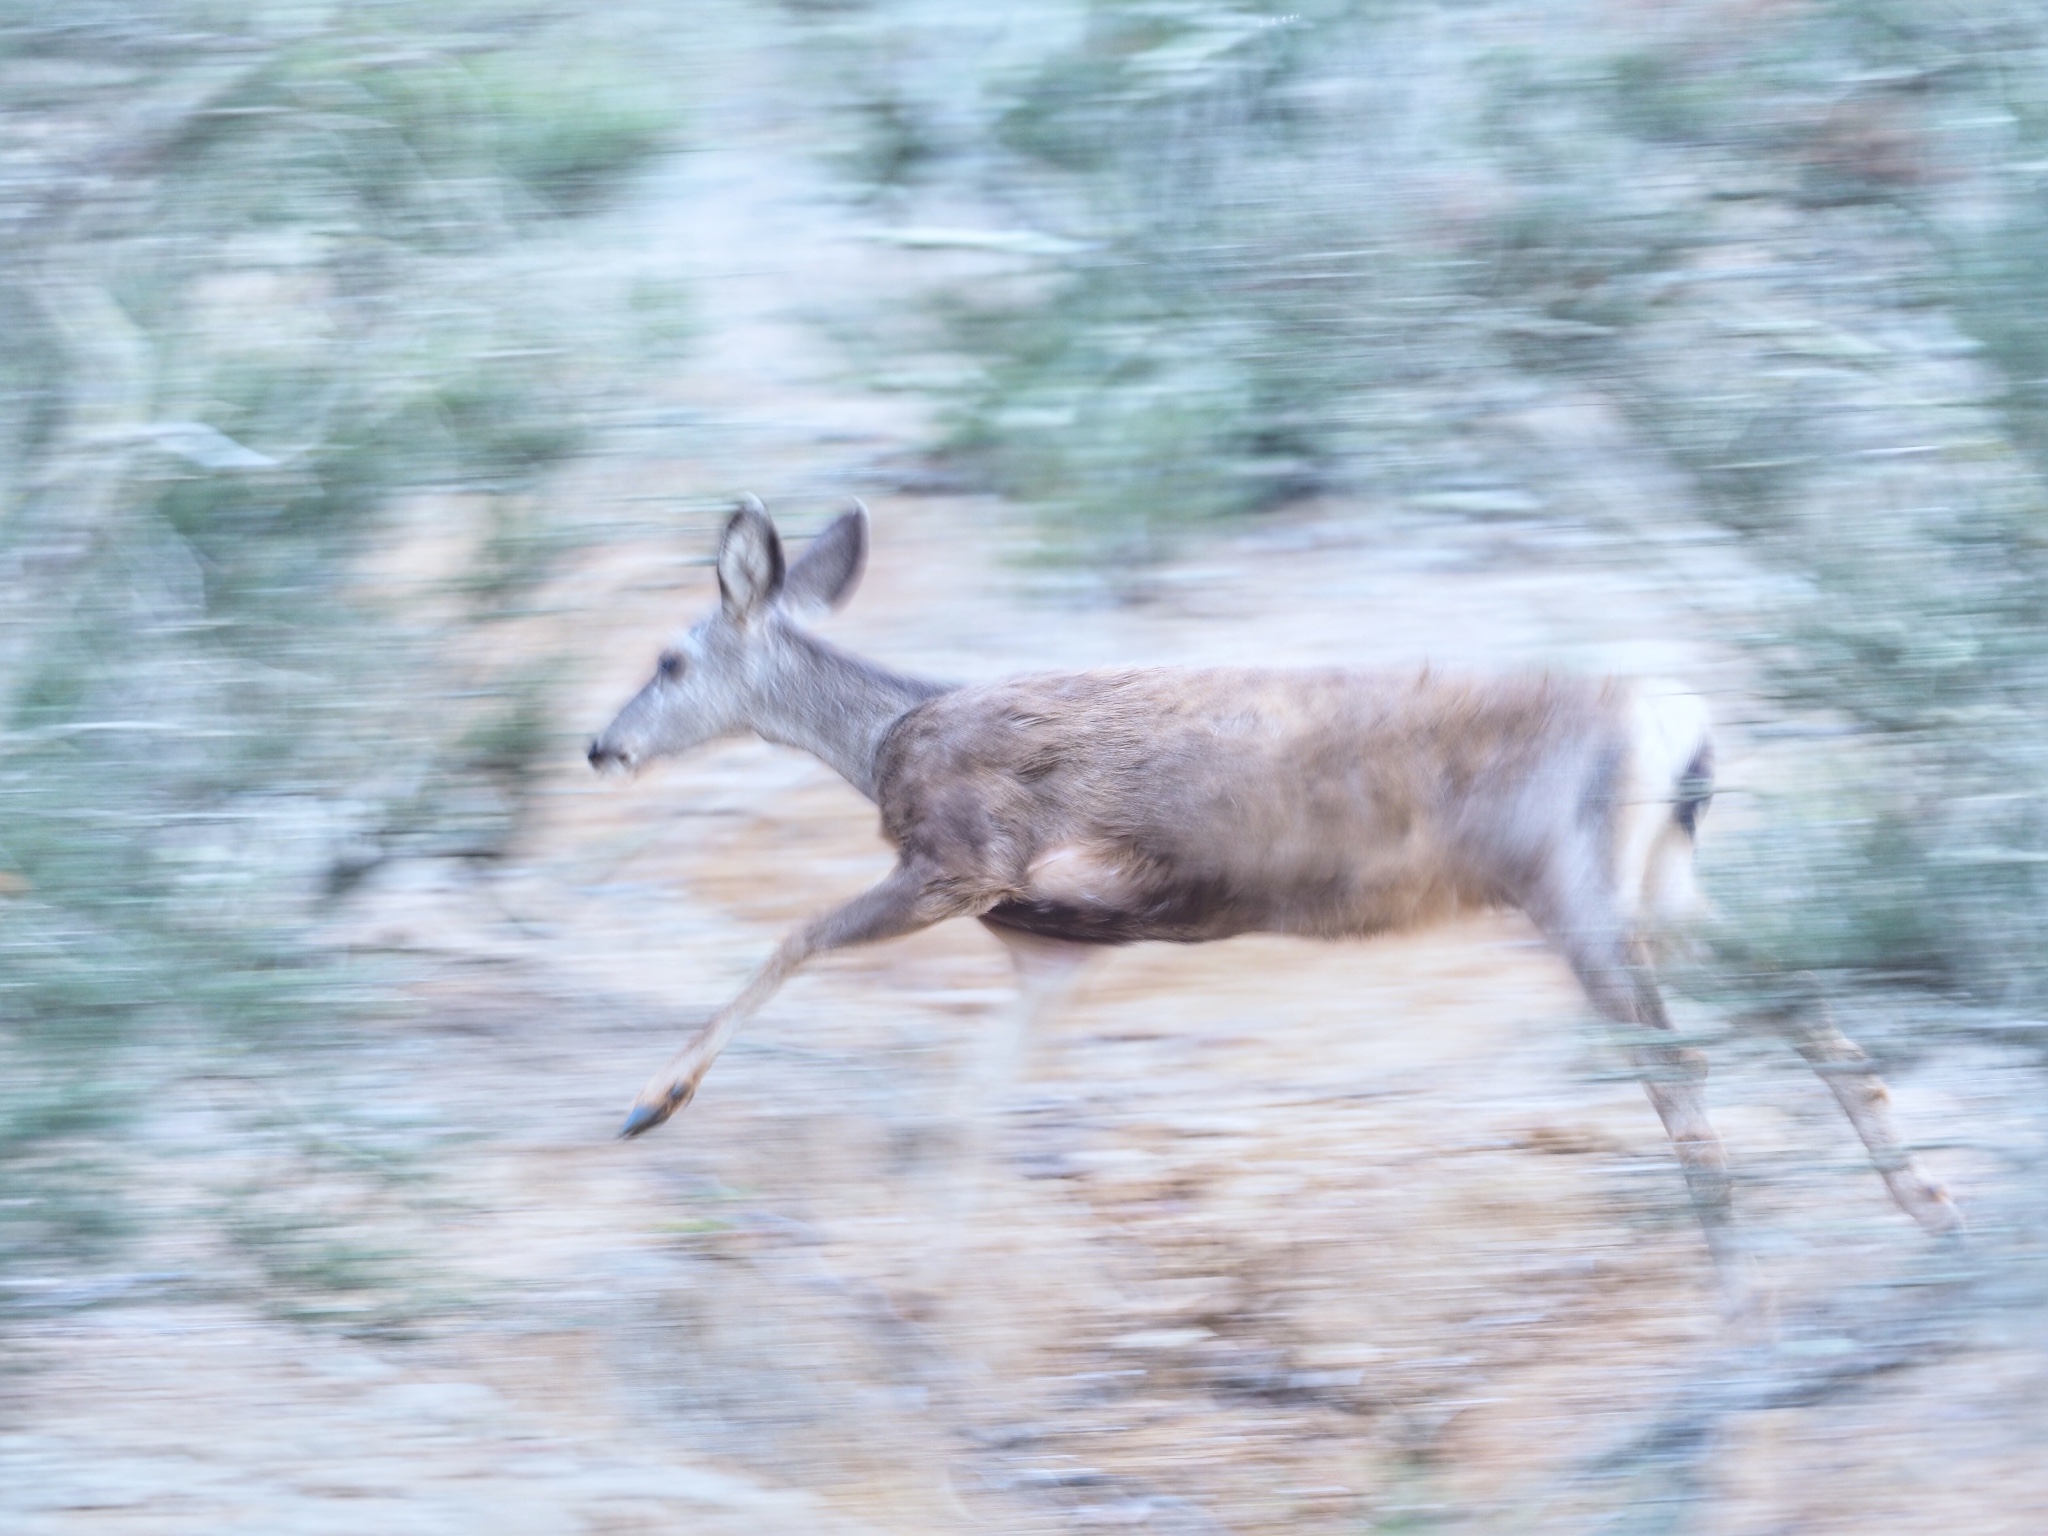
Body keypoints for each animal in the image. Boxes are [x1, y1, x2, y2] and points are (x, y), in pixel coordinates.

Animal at [585, 499, 1957, 1269]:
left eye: (667, 657)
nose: (600, 746)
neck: (883, 736)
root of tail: (1681, 719)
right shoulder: (1051, 940)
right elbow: (972, 1103)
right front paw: (931, 1270)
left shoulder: (965, 860)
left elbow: (792, 940)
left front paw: (652, 1102)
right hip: (1663, 882)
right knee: (1799, 995)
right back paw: (1925, 1203)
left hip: (1571, 885)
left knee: (1682, 1061)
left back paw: (1733, 1272)